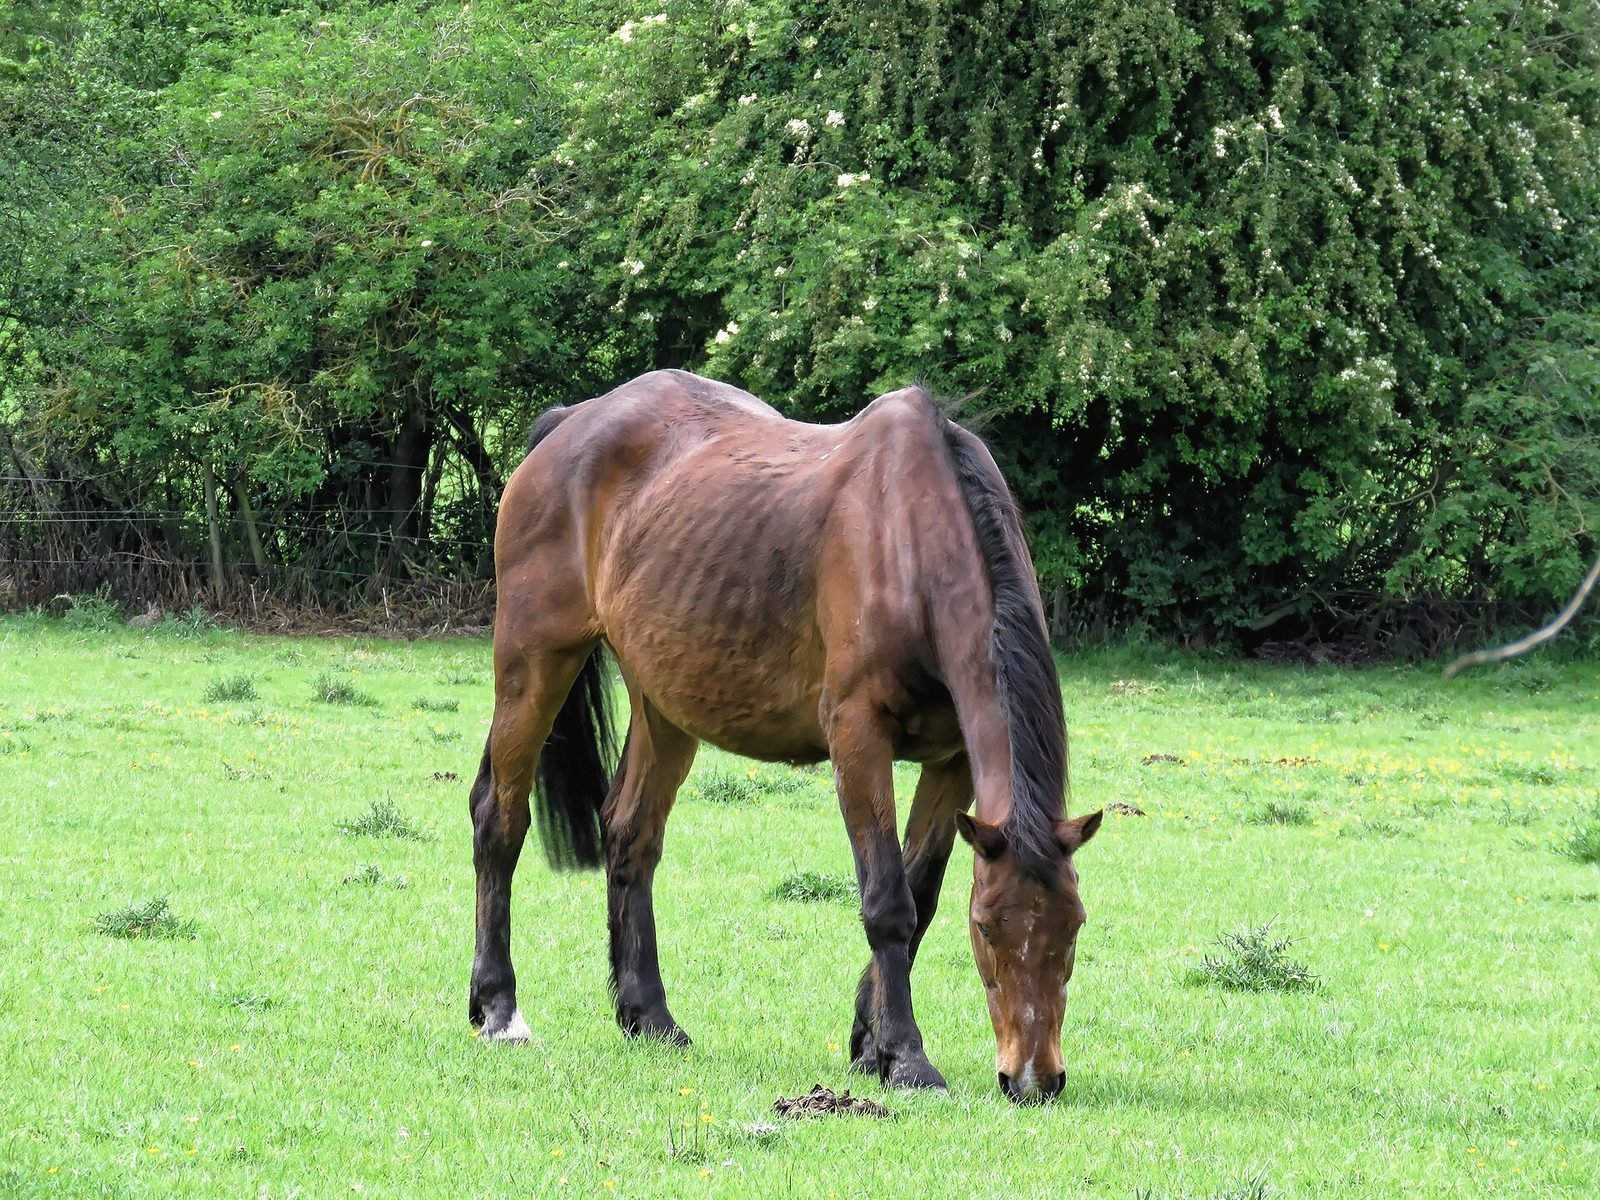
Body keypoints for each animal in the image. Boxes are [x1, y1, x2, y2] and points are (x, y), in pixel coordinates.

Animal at [467, 369, 1102, 1104]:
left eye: (1074, 927)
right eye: (987, 929)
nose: (1033, 1079)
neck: (907, 543)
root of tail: (570, 425)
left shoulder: (952, 763)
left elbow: (920, 894)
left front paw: (869, 1044)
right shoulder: (858, 736)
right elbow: (887, 901)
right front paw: (906, 1058)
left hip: (665, 703)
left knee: (630, 833)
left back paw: (648, 1016)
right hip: (535, 662)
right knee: (499, 818)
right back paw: (499, 1009)